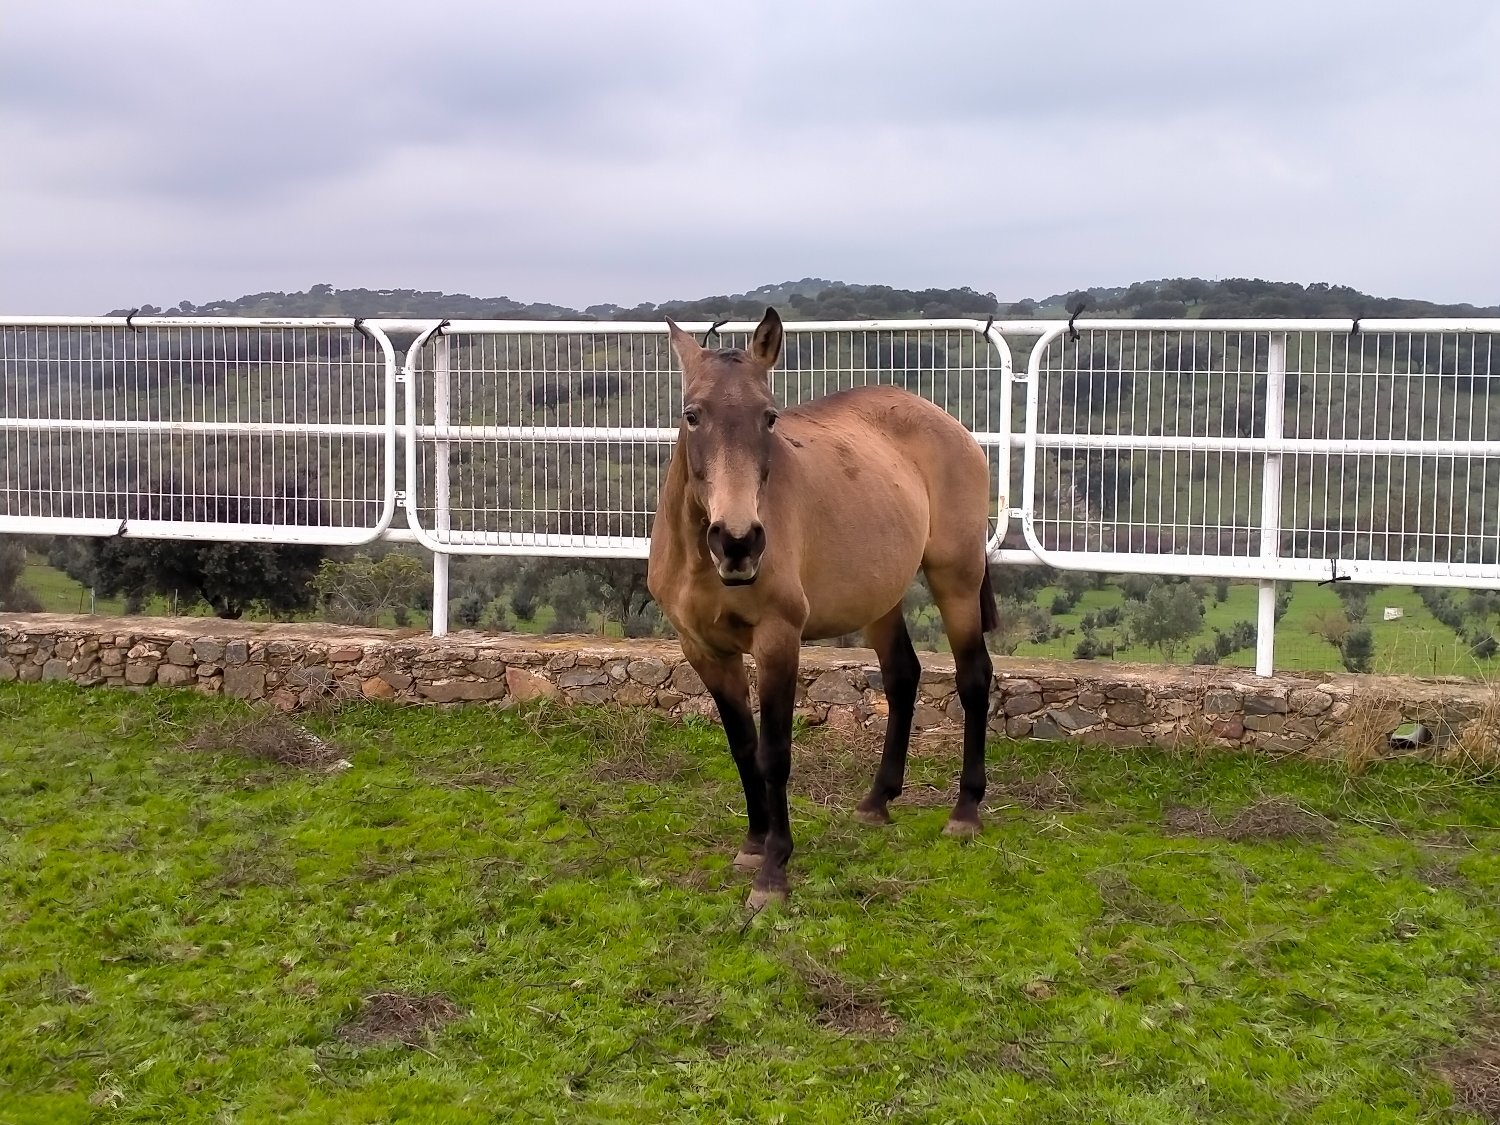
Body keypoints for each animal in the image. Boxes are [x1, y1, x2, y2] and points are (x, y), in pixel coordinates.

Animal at [646, 308, 1000, 908]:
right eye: (692, 416)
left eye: (769, 418)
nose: (738, 542)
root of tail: (950, 425)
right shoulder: (703, 649)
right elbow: (742, 746)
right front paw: (752, 845)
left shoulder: (778, 641)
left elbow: (774, 753)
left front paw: (773, 871)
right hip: (880, 598)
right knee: (902, 677)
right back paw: (877, 801)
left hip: (956, 577)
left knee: (974, 677)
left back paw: (964, 812)